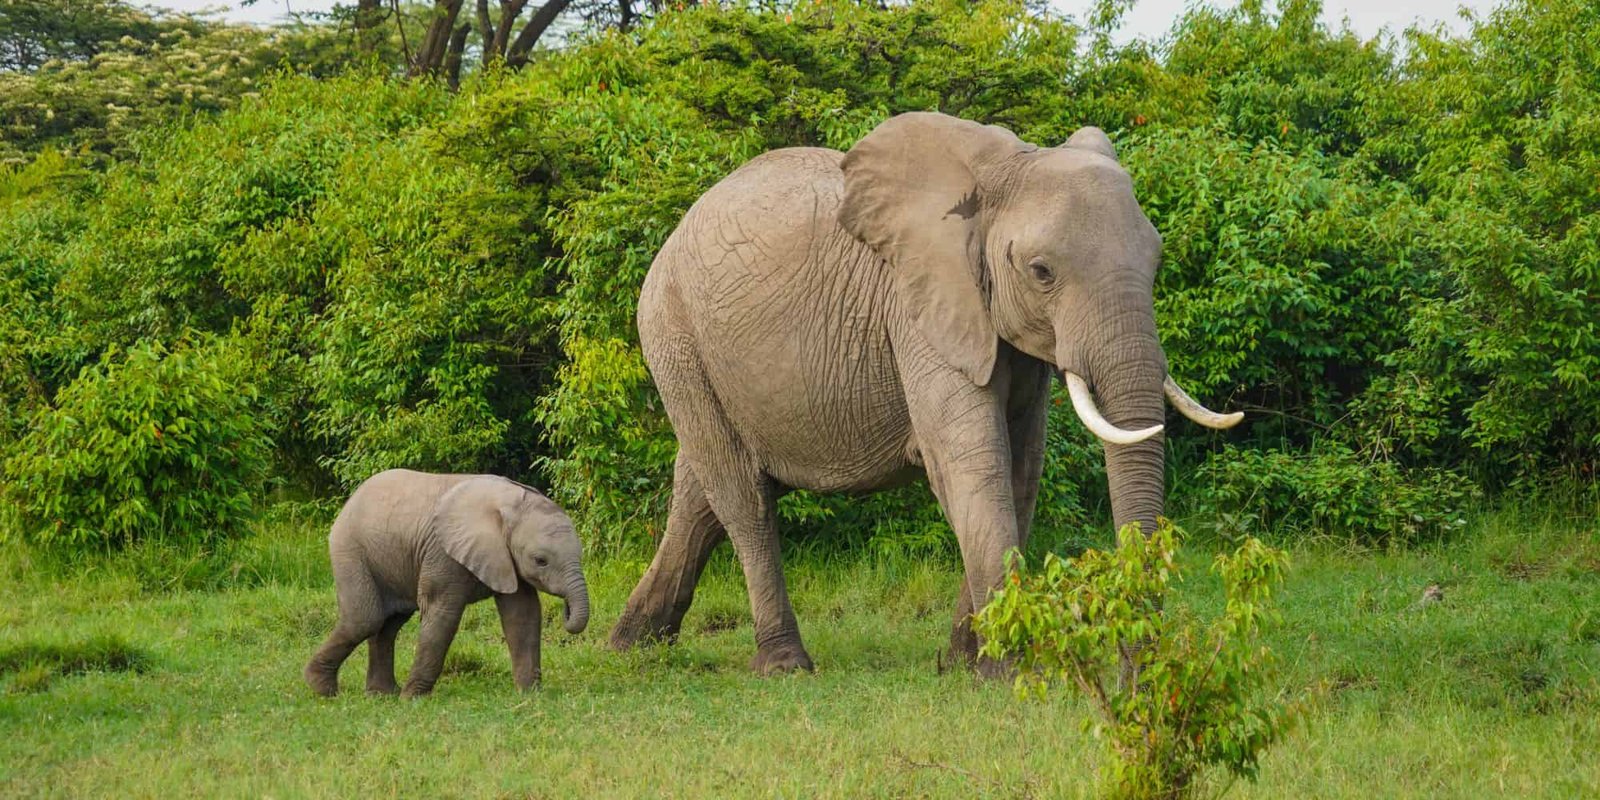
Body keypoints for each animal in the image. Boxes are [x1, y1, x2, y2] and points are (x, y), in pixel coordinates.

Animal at [303, 469, 589, 697]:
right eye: (540, 561)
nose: (566, 609)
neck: (509, 505)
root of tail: (351, 499)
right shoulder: (442, 552)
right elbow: (443, 614)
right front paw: (412, 698)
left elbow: (523, 615)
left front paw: (531, 695)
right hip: (350, 549)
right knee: (365, 619)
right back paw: (322, 689)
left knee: (388, 624)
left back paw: (382, 694)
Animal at [608, 112, 1241, 674]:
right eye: (1041, 272)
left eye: (1157, 262)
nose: (1139, 671)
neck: (1003, 172)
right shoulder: (918, 311)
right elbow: (971, 466)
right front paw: (1005, 670)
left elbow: (1021, 471)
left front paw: (965, 662)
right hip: (674, 335)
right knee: (742, 496)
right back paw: (783, 665)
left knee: (700, 493)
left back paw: (631, 645)